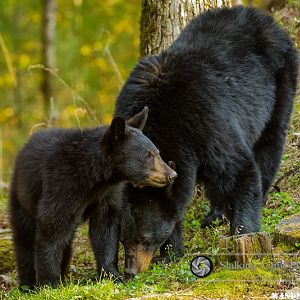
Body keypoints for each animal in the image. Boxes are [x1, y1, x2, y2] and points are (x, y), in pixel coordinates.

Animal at [9, 108, 177, 288]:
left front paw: (113, 274)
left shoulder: (108, 194)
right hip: (22, 197)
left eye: (157, 152)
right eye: (148, 155)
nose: (172, 174)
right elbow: (52, 228)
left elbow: (105, 228)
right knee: (24, 238)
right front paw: (50, 283)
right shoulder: (61, 183)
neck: (95, 177)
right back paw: (28, 284)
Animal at [115, 5, 298, 276]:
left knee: (270, 142)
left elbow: (240, 168)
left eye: (145, 238)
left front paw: (243, 233)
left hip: (281, 79)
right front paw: (171, 252)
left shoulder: (207, 122)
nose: (131, 272)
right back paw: (216, 214)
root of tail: (261, 15)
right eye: (123, 239)